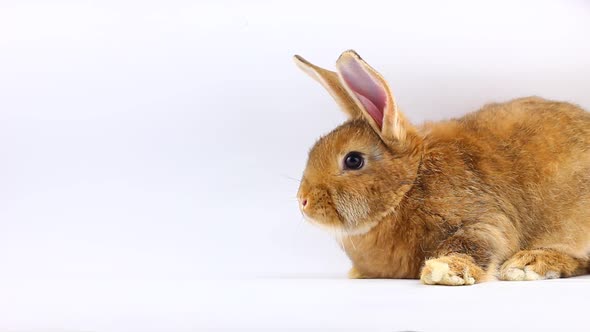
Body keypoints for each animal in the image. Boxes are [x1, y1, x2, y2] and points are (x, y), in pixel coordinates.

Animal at [294, 50, 590, 286]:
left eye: (353, 160)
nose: (303, 201)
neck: (410, 183)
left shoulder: (481, 216)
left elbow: (475, 242)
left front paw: (443, 271)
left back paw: (527, 264)